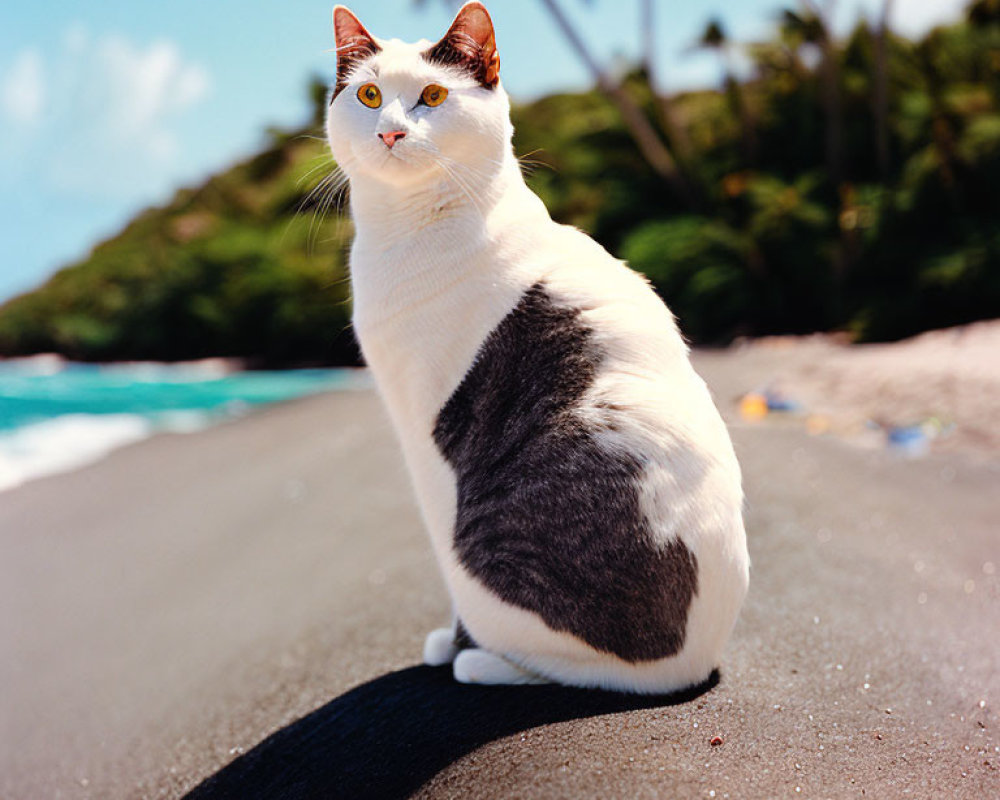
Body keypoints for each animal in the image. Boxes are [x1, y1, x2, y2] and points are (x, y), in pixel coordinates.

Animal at [324, 1, 748, 692]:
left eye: (432, 96)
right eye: (368, 95)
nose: (390, 133)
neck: (406, 230)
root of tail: (694, 663)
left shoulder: (423, 436)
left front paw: (454, 643)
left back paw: (482, 660)